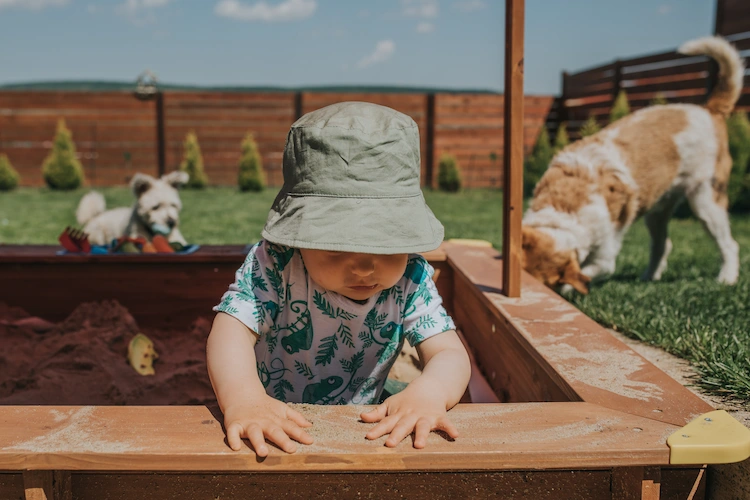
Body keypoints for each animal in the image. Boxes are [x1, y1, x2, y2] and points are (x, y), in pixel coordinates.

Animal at [524, 37, 748, 294]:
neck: (563, 210)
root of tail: (709, 109)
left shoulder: (605, 258)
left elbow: (583, 277)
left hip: (706, 201)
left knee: (730, 244)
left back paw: (727, 278)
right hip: (658, 211)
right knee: (663, 244)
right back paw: (650, 276)